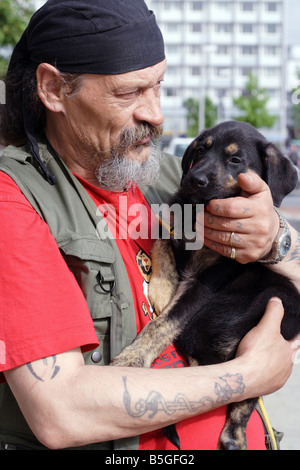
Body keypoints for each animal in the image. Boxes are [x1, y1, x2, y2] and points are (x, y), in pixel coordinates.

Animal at [112, 122, 300, 452]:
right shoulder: (173, 217)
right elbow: (162, 240)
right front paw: (162, 288)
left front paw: (131, 359)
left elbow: (162, 324)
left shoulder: (206, 282)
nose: (194, 179)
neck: (201, 211)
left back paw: (234, 435)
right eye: (200, 150)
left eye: (235, 160)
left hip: (232, 316)